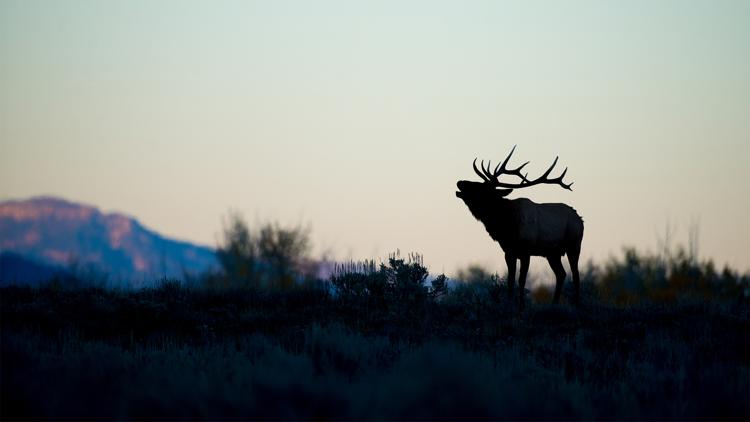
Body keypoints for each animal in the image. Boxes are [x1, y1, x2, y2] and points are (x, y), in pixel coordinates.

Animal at [456, 147, 584, 308]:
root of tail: (580, 220)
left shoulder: (525, 251)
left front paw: (521, 305)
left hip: (574, 245)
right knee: (561, 274)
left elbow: (521, 280)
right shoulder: (508, 251)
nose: (460, 182)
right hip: (552, 253)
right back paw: (554, 304)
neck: (507, 225)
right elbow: (510, 280)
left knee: (575, 275)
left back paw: (577, 304)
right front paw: (509, 302)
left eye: (481, 188)